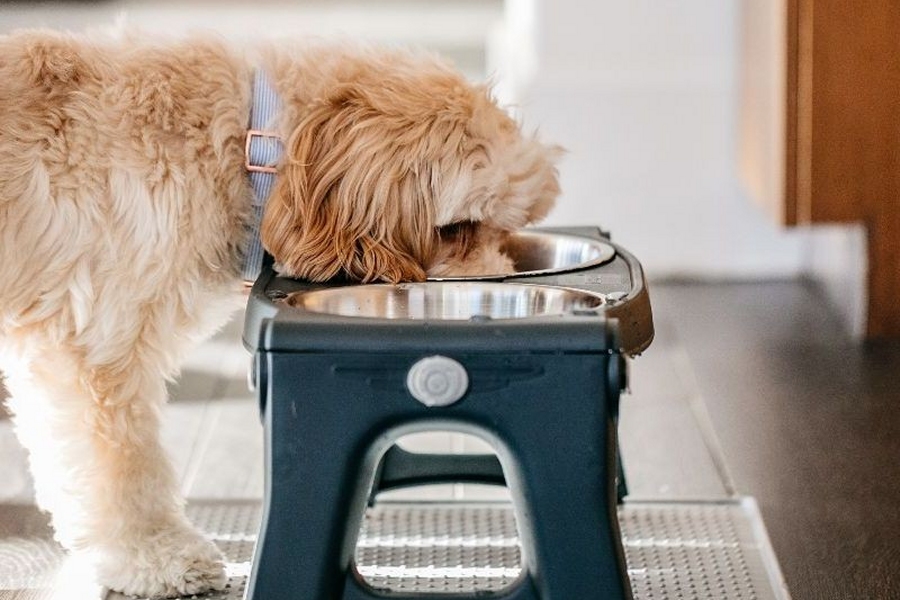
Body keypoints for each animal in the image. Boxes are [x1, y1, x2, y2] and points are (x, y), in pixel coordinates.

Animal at [0, 29, 560, 600]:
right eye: (457, 228)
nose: (494, 283)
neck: (245, 145)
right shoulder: (95, 342)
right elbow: (122, 466)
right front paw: (155, 553)